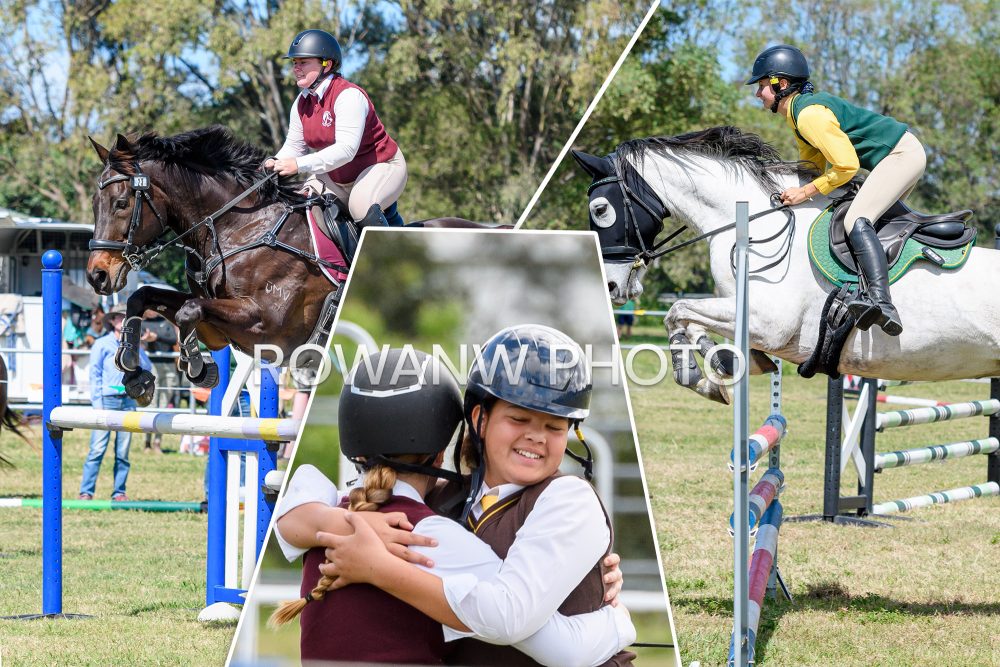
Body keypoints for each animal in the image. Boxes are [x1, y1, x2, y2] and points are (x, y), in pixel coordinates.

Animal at [86, 126, 508, 408]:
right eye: (95, 203)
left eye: (122, 203)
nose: (97, 274)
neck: (238, 225)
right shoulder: (219, 325)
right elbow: (145, 297)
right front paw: (135, 373)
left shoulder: (265, 324)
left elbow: (188, 311)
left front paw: (196, 366)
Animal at [576, 128, 996, 404]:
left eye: (601, 209)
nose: (611, 287)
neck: (753, 223)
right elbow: (689, 324)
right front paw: (717, 371)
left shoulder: (771, 323)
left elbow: (677, 310)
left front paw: (704, 376)